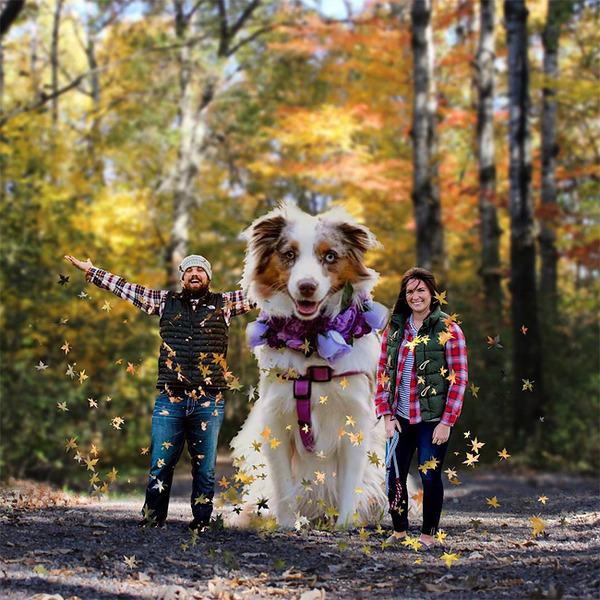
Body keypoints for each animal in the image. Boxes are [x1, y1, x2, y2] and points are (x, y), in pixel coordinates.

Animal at [229, 200, 390, 524]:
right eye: (289, 255)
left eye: (329, 256)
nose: (306, 286)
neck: (311, 342)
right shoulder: (275, 421)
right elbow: (283, 486)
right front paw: (285, 525)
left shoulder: (355, 423)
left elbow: (349, 484)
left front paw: (344, 526)